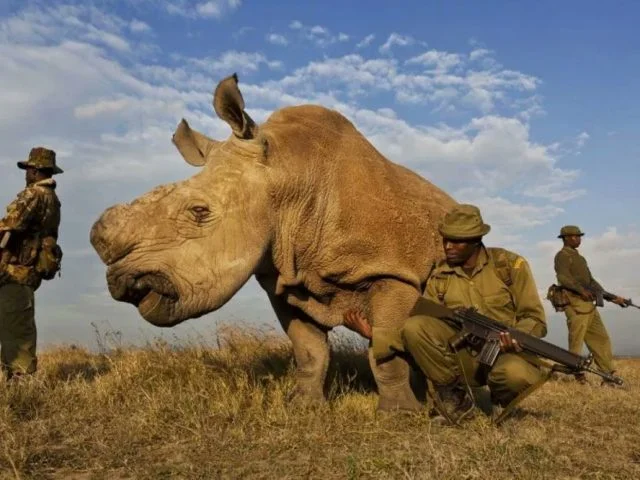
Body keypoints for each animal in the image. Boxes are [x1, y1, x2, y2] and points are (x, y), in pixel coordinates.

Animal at [90, 74, 456, 411]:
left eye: (198, 211)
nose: (123, 282)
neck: (289, 177)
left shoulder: (393, 271)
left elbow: (385, 350)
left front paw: (400, 413)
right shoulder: (284, 279)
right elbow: (308, 349)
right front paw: (304, 407)